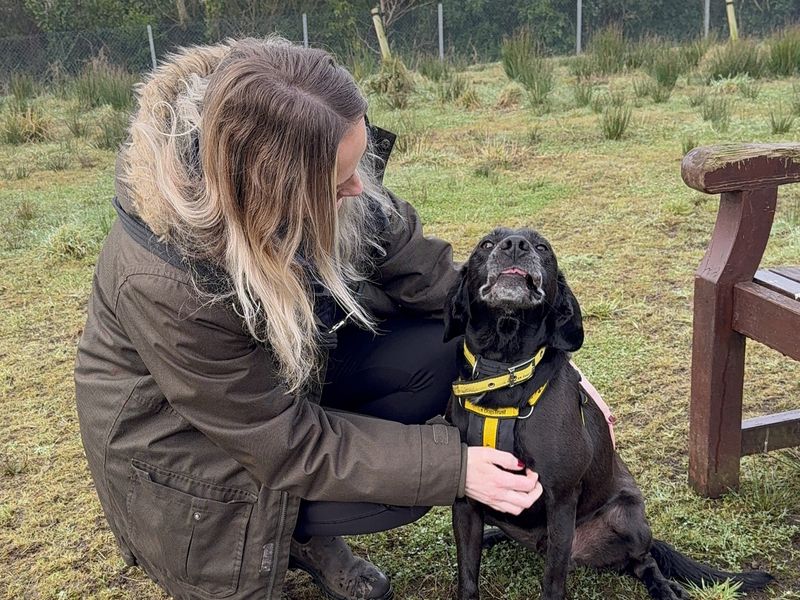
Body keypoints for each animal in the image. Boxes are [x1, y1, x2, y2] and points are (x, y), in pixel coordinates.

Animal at [444, 227, 776, 596]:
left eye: (543, 247)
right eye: (485, 244)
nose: (515, 245)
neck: (505, 372)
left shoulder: (561, 499)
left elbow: (553, 581)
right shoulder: (467, 496)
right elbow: (467, 575)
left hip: (625, 517)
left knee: (644, 562)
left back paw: (666, 589)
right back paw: (493, 535)